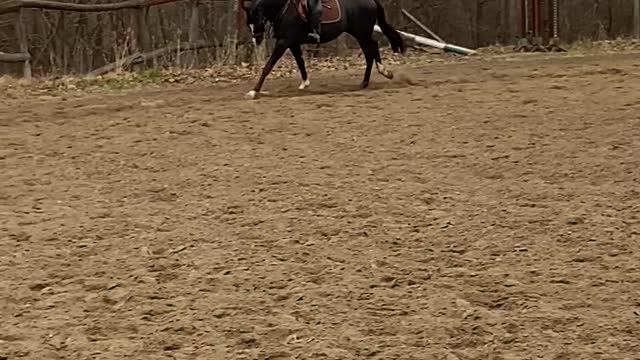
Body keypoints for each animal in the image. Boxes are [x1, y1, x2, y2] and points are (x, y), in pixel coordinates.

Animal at [240, 0, 404, 98]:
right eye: (249, 24)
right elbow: (300, 62)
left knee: (372, 48)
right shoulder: (292, 43)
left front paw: (253, 91)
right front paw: (305, 83)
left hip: (361, 33)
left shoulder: (283, 42)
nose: (256, 40)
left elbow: (268, 66)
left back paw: (384, 72)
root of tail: (371, 1)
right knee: (369, 53)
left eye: (257, 20)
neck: (285, 10)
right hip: (359, 33)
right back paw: (365, 82)